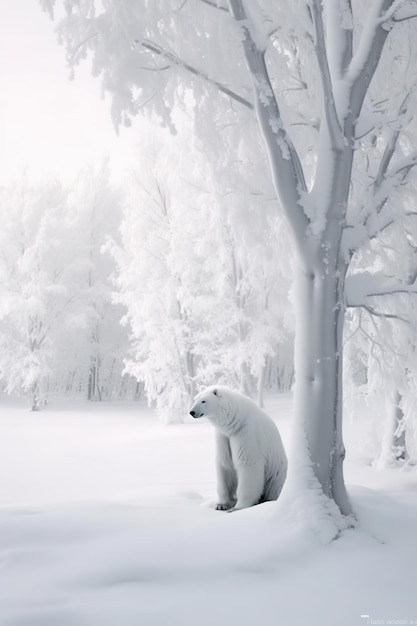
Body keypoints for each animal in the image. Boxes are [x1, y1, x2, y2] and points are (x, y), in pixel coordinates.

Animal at [188, 382, 286, 510]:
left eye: (203, 401)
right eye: (195, 399)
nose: (192, 412)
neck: (236, 420)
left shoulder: (246, 432)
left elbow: (248, 463)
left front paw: (239, 507)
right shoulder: (224, 436)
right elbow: (225, 464)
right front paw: (221, 504)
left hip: (277, 475)